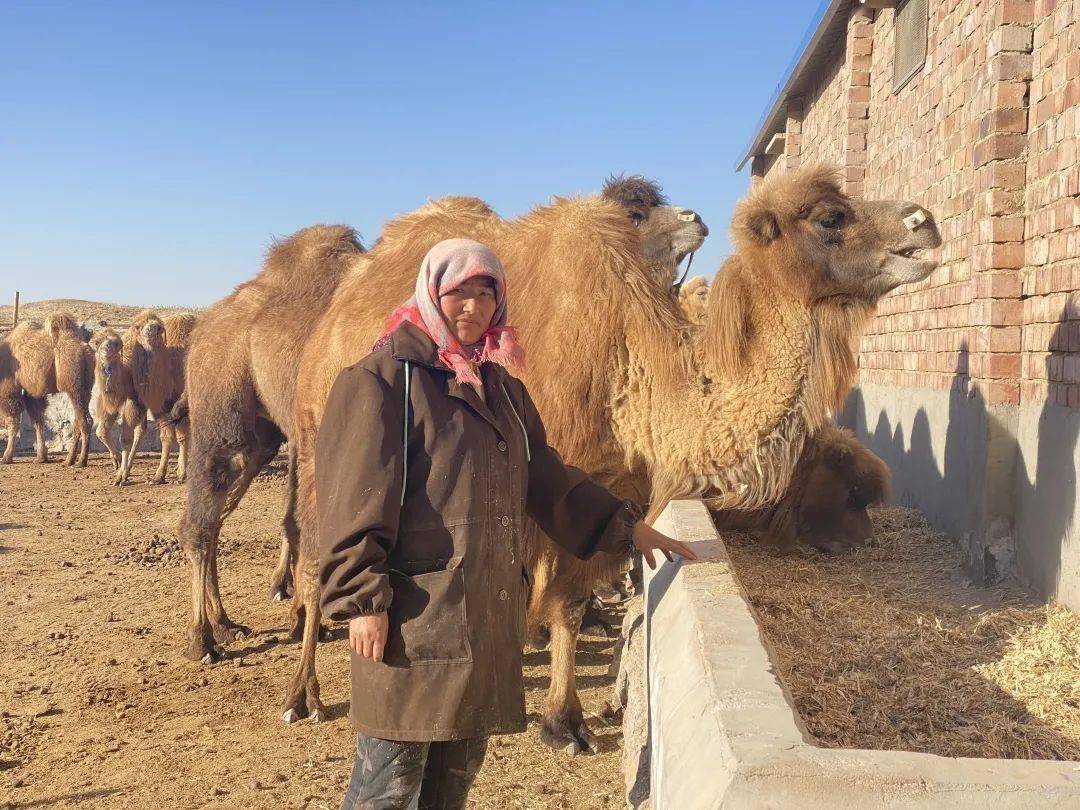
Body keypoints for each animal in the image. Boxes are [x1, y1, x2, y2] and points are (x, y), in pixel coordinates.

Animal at [0, 317, 92, 468]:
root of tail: (85, 349)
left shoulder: (8, 389)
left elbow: (13, 422)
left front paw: (6, 458)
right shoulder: (32, 393)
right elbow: (38, 421)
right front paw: (41, 457)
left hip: (74, 386)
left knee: (84, 420)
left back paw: (80, 461)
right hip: (86, 387)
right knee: (79, 419)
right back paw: (69, 460)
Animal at [254, 166, 937, 756]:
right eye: (830, 216)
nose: (924, 220)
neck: (629, 358)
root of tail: (339, 307)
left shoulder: (611, 486)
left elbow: (575, 593)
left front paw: (564, 704)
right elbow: (556, 597)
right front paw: (563, 714)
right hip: (322, 445)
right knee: (318, 556)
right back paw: (301, 694)